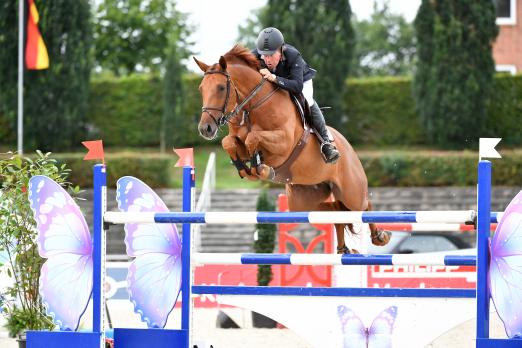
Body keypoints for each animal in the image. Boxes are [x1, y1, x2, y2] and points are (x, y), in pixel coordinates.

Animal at [191, 44, 386, 254]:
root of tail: (349, 148)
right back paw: (343, 249)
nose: (205, 129)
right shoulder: (239, 140)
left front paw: (260, 168)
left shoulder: (283, 142)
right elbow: (228, 142)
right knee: (335, 211)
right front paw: (246, 168)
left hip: (351, 192)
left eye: (220, 88)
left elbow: (253, 138)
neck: (252, 107)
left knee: (364, 204)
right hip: (303, 201)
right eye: (201, 88)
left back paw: (380, 236)